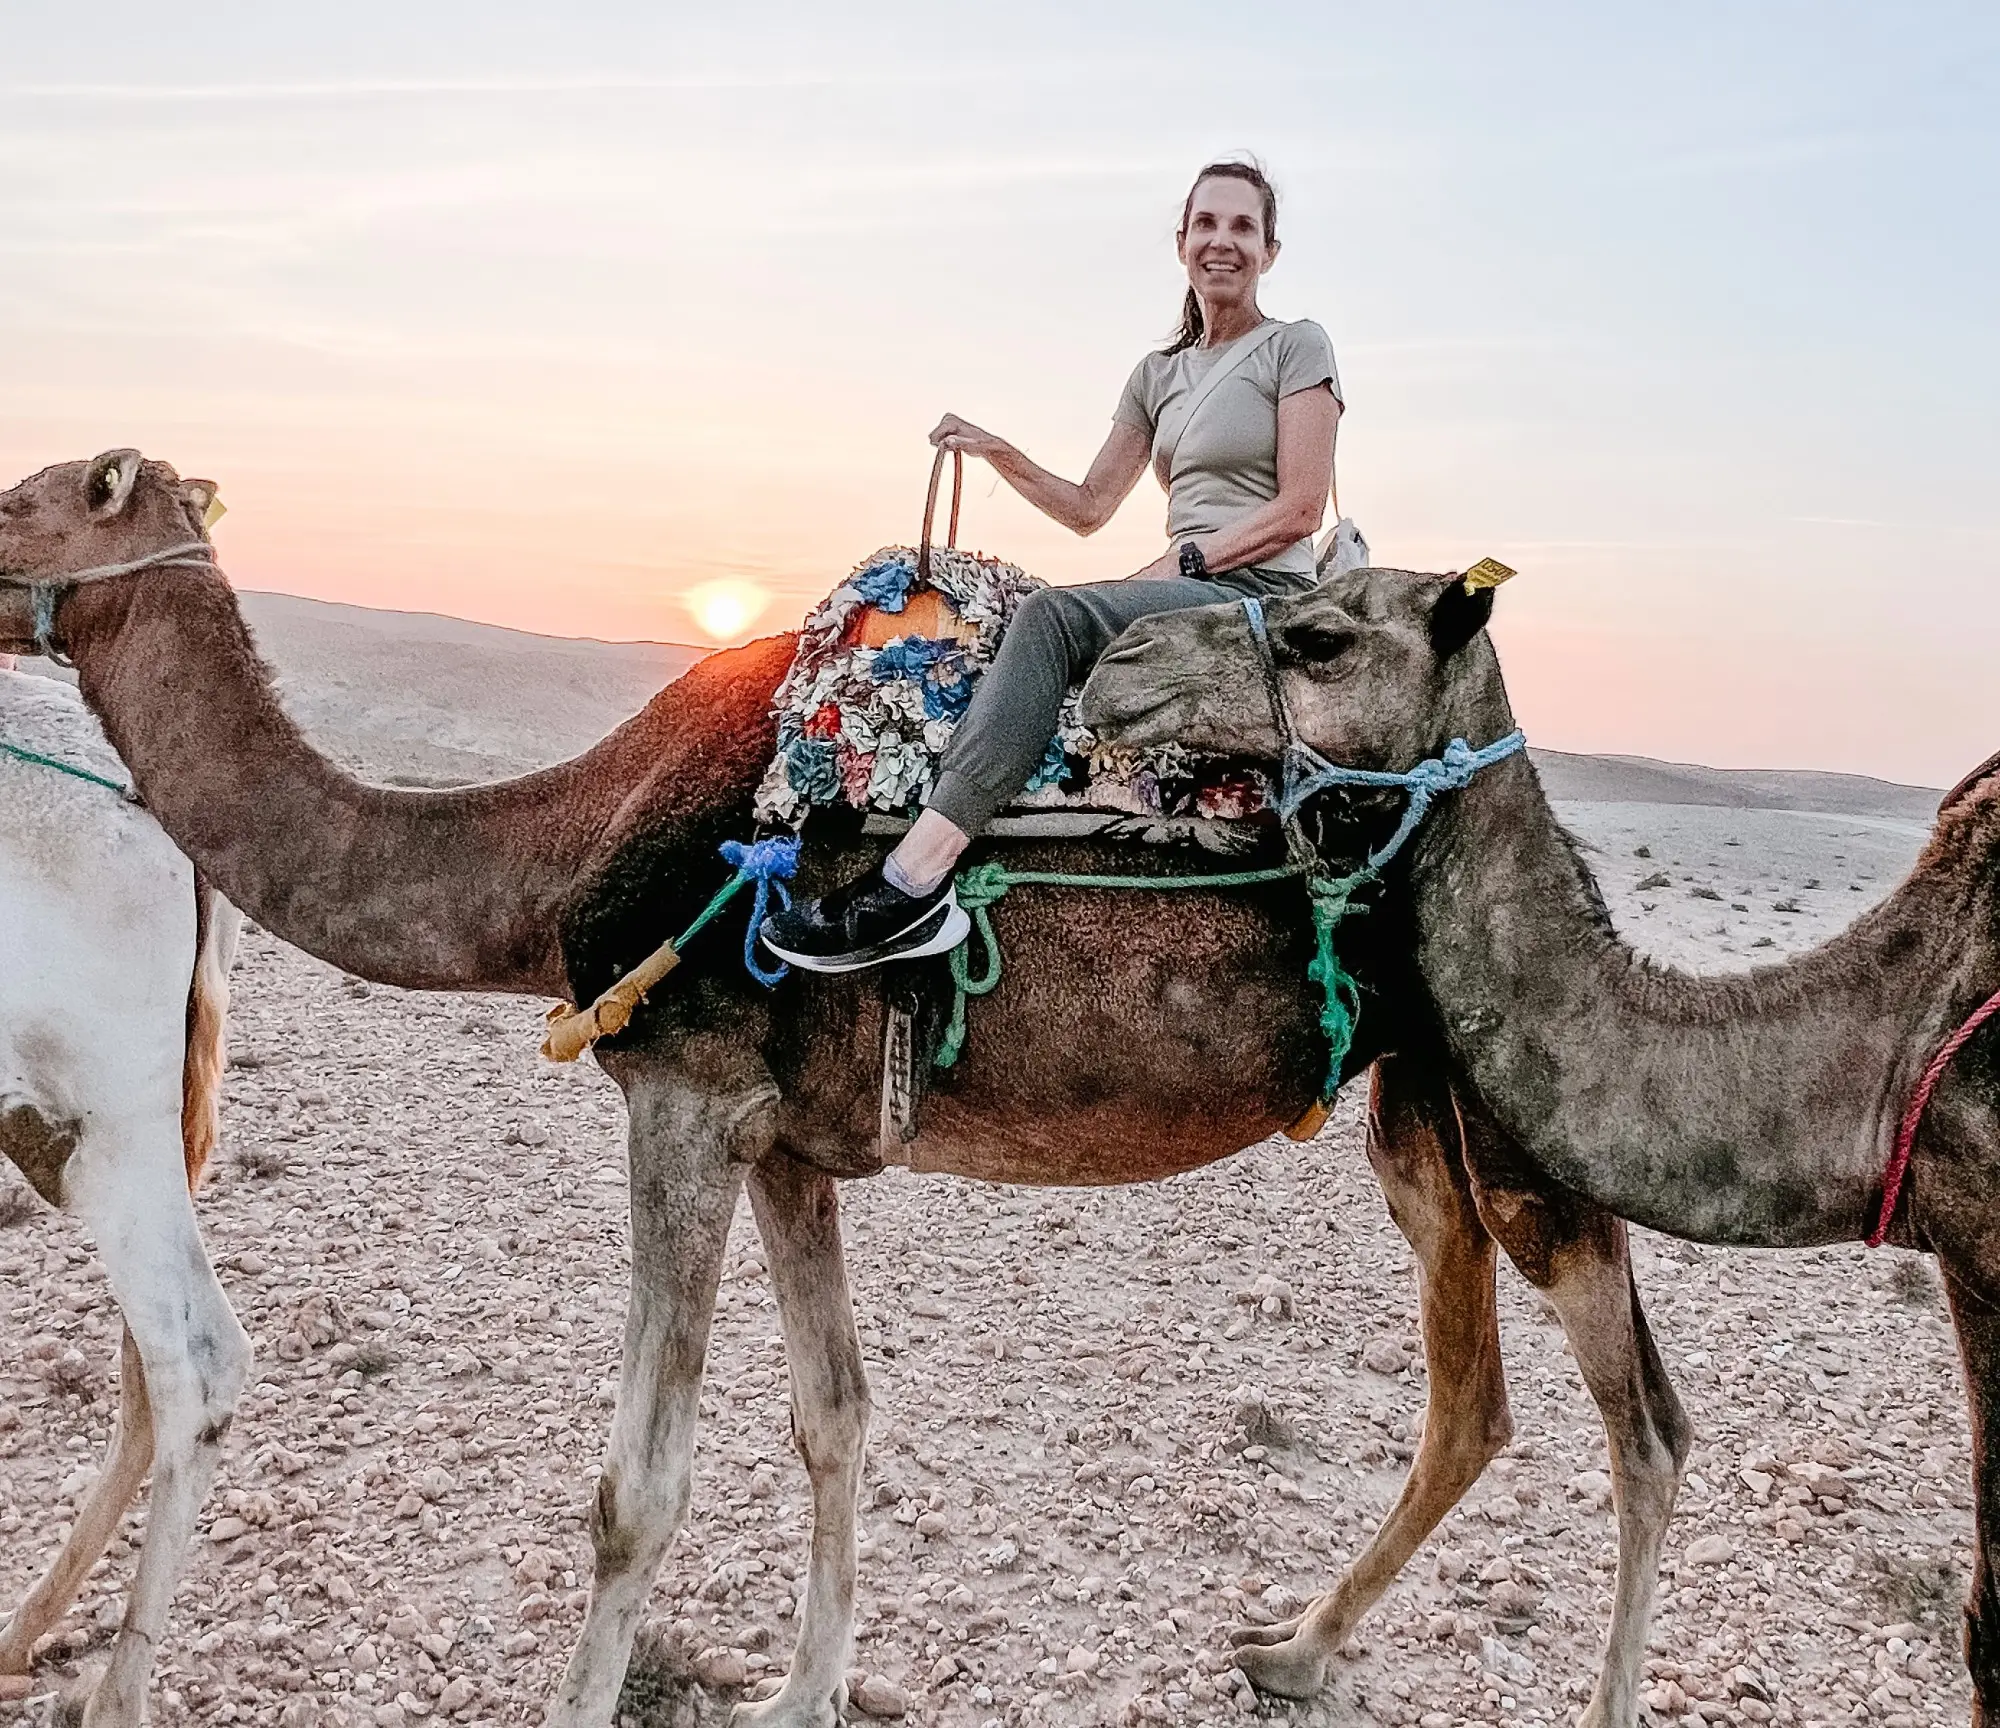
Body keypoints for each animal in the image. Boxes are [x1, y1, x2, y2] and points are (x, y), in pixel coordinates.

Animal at [2, 451, 1689, 1728]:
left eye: (26, 497)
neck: (566, 849)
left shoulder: (679, 1098)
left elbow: (638, 1488)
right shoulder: (783, 1145)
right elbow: (836, 1418)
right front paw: (802, 1693)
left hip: (1521, 1125)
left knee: (1644, 1430)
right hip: (1420, 1120)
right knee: (1472, 1401)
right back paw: (1288, 1650)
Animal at [1081, 565, 2000, 1721]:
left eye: (1322, 640)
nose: (1116, 663)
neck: (1899, 1047)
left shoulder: (1982, 1245)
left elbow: (1988, 1626)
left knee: (1621, 1427)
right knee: (1603, 1418)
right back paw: (1291, 1645)